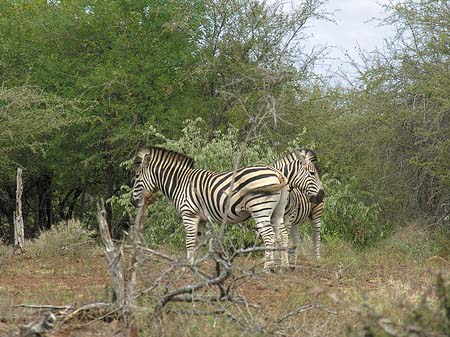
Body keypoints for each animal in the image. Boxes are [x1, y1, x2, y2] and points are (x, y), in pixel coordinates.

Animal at [130, 146, 292, 270]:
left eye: (137, 176)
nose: (132, 201)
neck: (180, 183)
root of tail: (276, 172)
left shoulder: (189, 214)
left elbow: (190, 241)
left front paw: (187, 267)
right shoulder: (201, 218)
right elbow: (198, 241)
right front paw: (196, 265)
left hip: (260, 210)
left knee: (269, 235)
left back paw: (267, 267)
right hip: (277, 212)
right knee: (282, 235)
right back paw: (284, 266)